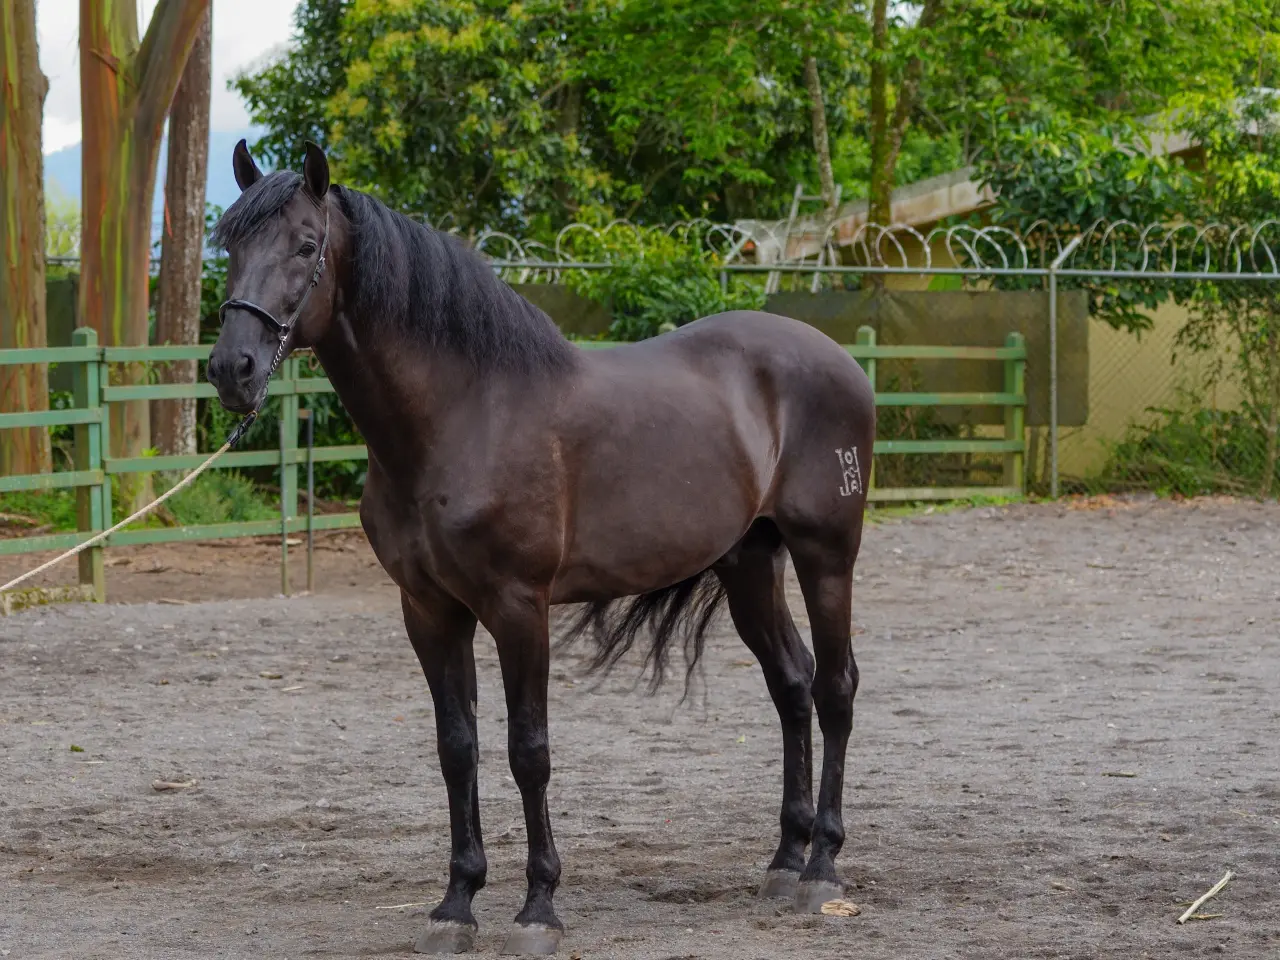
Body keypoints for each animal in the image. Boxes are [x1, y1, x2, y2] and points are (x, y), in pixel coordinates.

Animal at [206, 140, 875, 956]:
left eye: (306, 246)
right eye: (231, 245)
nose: (232, 369)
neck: (464, 416)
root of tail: (838, 359)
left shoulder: (519, 607)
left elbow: (529, 751)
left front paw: (538, 908)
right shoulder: (429, 611)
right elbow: (456, 746)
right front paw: (457, 902)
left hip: (826, 555)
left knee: (834, 687)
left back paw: (822, 868)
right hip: (749, 562)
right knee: (791, 684)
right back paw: (784, 860)